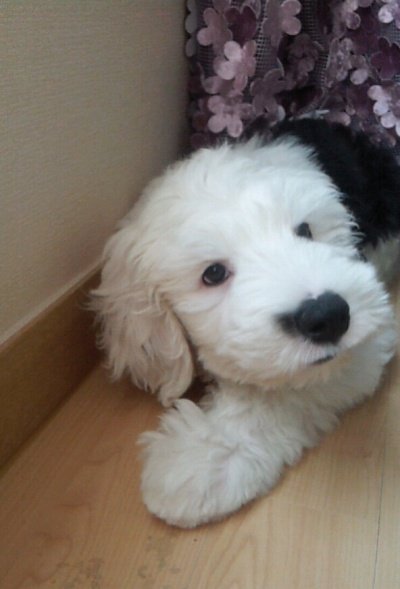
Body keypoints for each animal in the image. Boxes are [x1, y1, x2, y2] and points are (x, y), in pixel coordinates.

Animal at [93, 119, 400, 528]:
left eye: (305, 230)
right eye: (213, 274)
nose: (329, 315)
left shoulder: (369, 334)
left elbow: (283, 393)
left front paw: (202, 462)